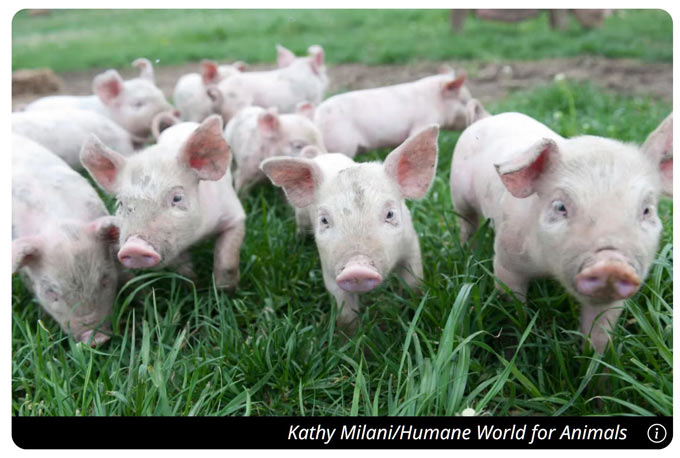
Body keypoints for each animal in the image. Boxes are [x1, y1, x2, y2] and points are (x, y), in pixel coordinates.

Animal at [80, 115, 246, 291]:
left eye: (177, 198)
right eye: (121, 204)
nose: (134, 246)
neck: (198, 235)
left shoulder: (234, 214)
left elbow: (227, 263)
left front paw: (226, 291)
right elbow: (182, 267)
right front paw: (192, 284)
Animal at [261, 125, 439, 329]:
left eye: (390, 214)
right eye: (324, 220)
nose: (357, 268)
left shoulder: (411, 243)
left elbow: (414, 282)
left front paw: (414, 311)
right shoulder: (329, 265)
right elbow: (344, 308)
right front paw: (348, 335)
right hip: (302, 216)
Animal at [314, 69, 488, 157]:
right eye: (464, 101)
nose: (486, 115)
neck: (435, 102)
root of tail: (317, 119)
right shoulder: (422, 122)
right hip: (342, 144)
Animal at [449, 112, 673, 354]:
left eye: (647, 210)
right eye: (560, 207)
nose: (612, 265)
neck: (548, 270)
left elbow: (600, 333)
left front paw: (594, 361)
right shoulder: (507, 260)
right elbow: (513, 308)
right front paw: (514, 344)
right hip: (458, 194)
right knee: (467, 222)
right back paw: (468, 251)